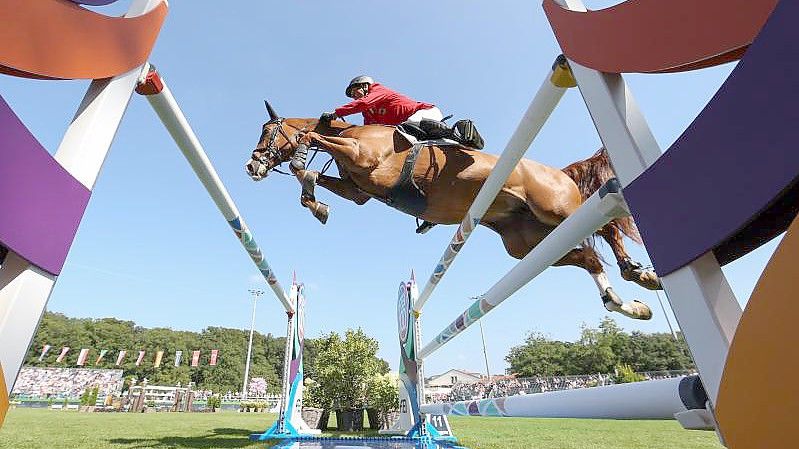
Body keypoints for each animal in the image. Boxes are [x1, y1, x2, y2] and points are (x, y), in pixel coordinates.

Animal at [245, 102, 664, 318]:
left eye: (267, 133)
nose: (252, 166)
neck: (351, 132)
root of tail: (560, 172)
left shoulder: (367, 163)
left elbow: (312, 141)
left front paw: (302, 156)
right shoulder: (358, 190)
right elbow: (314, 176)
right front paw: (317, 204)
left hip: (555, 207)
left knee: (607, 228)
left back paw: (638, 274)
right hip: (528, 242)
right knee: (588, 257)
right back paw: (628, 303)